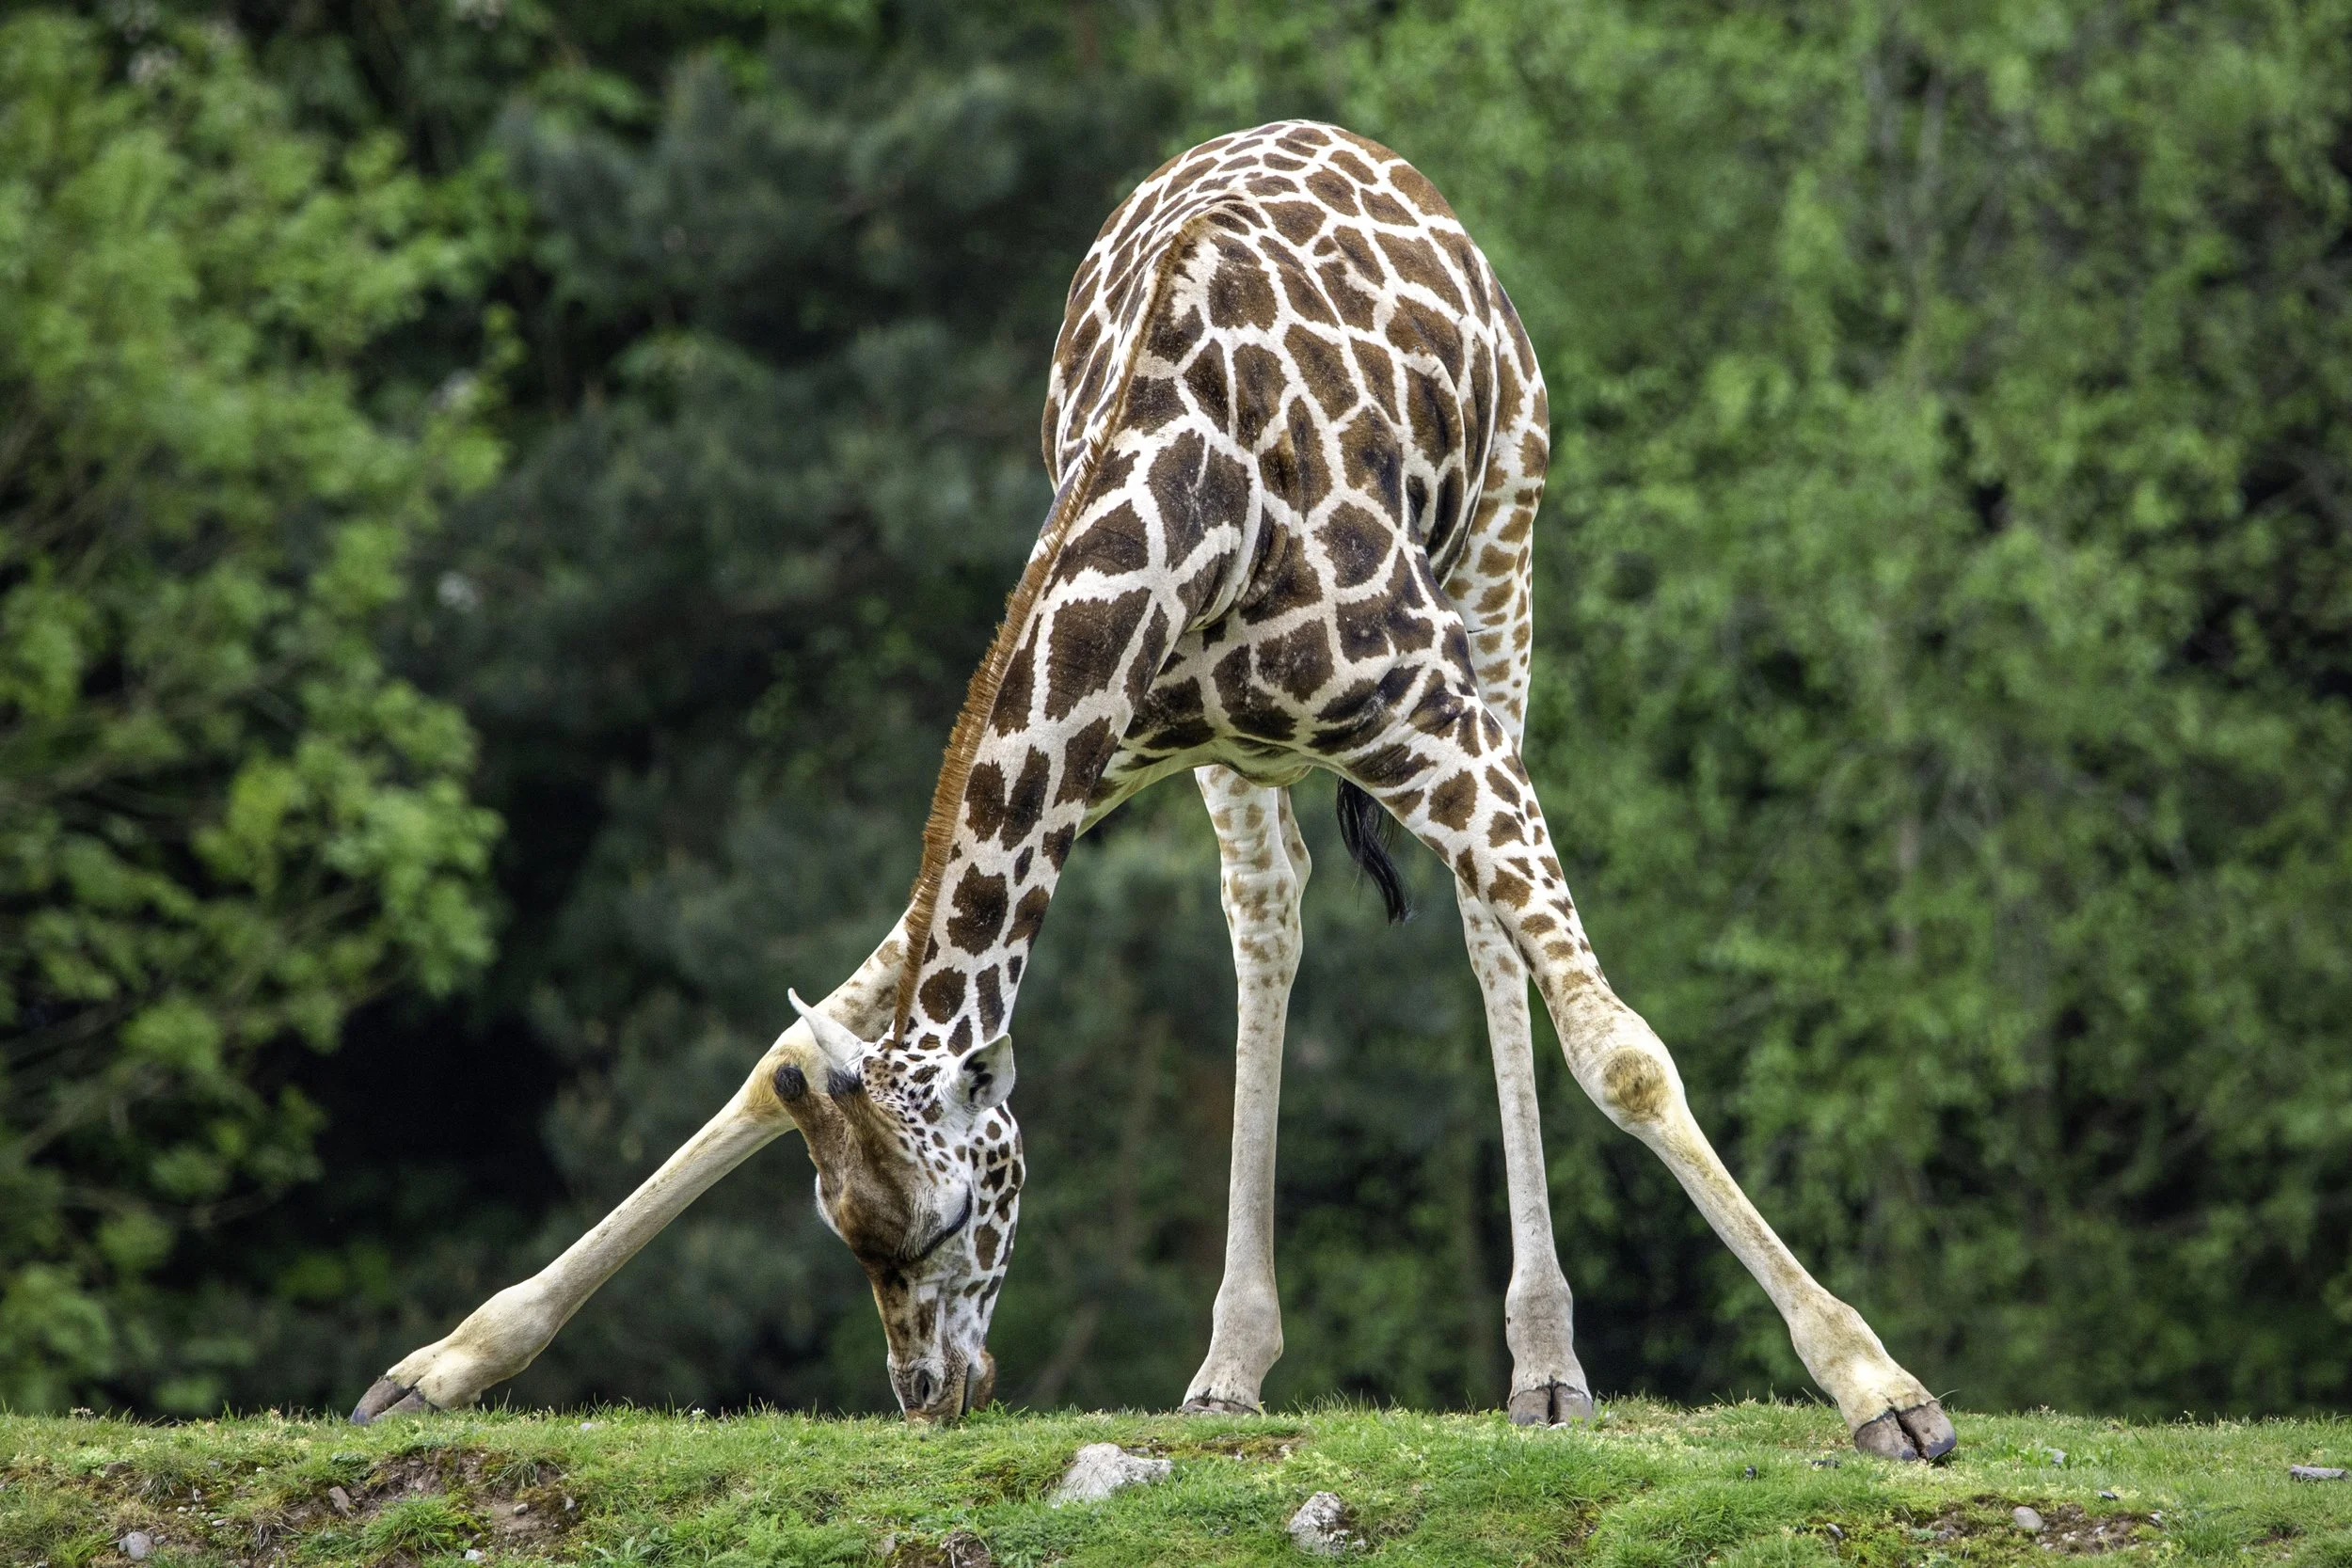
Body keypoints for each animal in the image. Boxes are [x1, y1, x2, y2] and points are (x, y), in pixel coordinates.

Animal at [351, 121, 1956, 1462]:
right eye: (843, 1231)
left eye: (949, 1214)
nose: (928, 1393)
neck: (1192, 510)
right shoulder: (1111, 744)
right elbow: (786, 1050)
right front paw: (437, 1365)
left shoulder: (1428, 704)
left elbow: (1619, 1048)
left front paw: (1880, 1384)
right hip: (1244, 757)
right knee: (1272, 915)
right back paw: (1231, 1365)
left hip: (1504, 550)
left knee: (1485, 936)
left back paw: (1545, 1368)